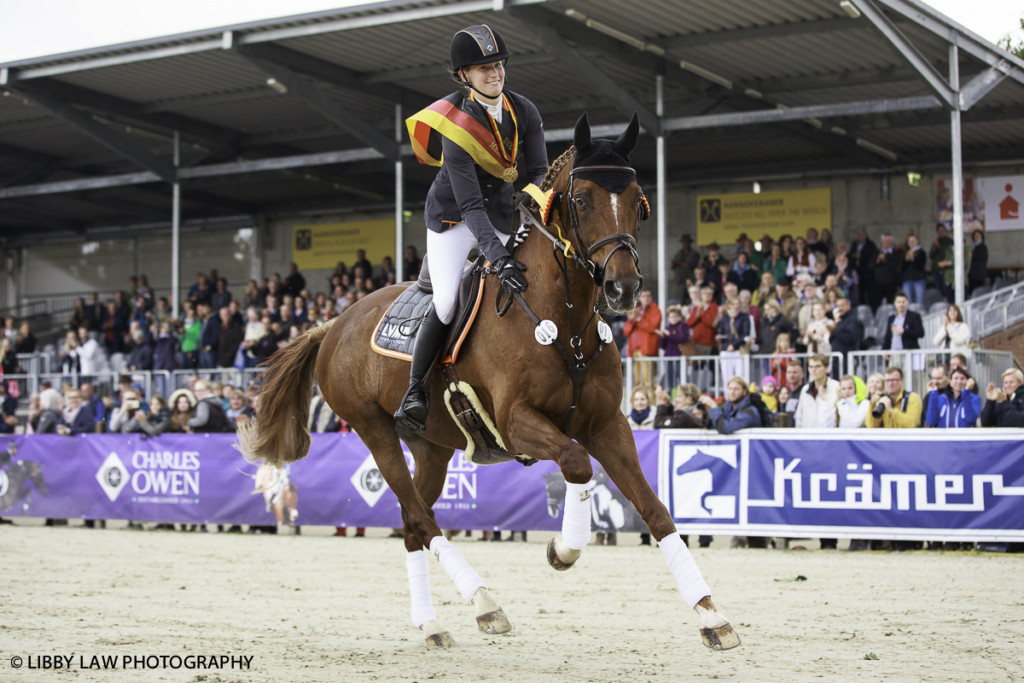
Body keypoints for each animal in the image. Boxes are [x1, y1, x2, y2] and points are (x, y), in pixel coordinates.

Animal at [239, 116, 737, 651]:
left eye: (638, 200)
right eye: (582, 200)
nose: (623, 289)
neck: (563, 318)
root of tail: (333, 323)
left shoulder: (608, 425)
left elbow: (655, 508)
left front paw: (711, 615)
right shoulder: (518, 423)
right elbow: (576, 464)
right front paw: (563, 549)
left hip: (432, 447)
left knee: (413, 522)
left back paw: (433, 624)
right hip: (374, 431)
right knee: (419, 517)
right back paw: (484, 602)